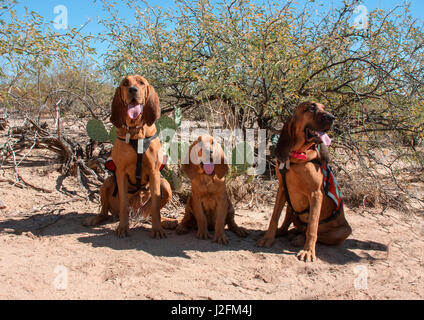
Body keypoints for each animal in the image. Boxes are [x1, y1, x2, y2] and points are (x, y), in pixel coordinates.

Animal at [84, 75, 174, 238]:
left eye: (142, 83)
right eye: (125, 83)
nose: (132, 90)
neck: (135, 131)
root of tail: (136, 213)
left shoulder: (154, 172)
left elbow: (156, 206)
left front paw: (157, 229)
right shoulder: (121, 172)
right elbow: (124, 204)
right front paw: (123, 227)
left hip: (165, 185)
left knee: (149, 214)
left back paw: (168, 222)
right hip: (107, 183)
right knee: (104, 212)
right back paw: (95, 219)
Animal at [258, 102, 352, 262]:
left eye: (324, 107)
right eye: (311, 108)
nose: (332, 117)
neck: (297, 156)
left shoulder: (316, 194)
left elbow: (313, 227)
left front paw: (308, 251)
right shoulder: (282, 188)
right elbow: (274, 217)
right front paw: (268, 238)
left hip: (345, 230)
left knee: (315, 233)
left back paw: (299, 239)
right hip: (291, 202)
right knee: (289, 225)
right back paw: (284, 232)